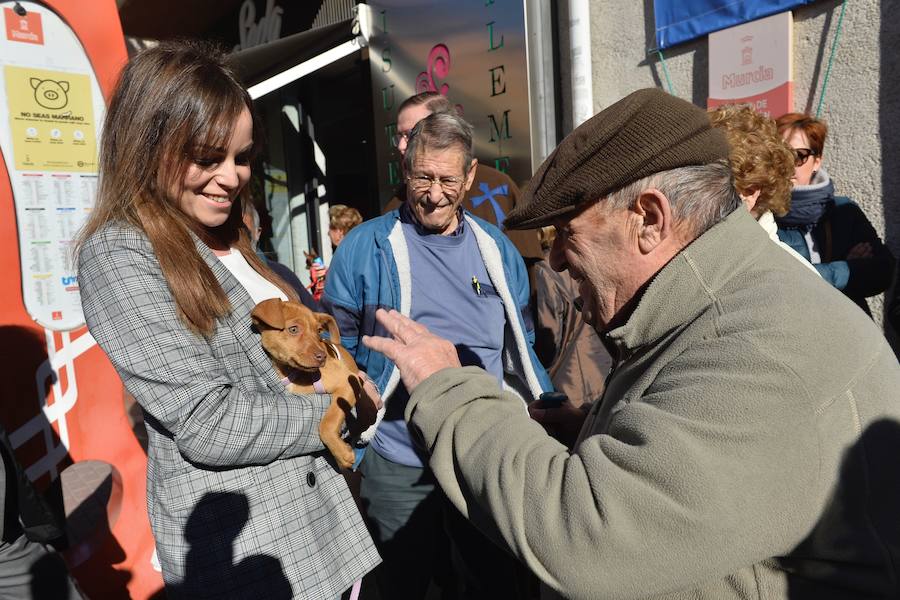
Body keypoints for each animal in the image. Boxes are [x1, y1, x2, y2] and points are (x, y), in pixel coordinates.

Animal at [250, 298, 372, 472]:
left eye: (319, 331)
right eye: (293, 329)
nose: (323, 357)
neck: (292, 372)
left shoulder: (348, 382)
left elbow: (328, 422)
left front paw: (342, 454)